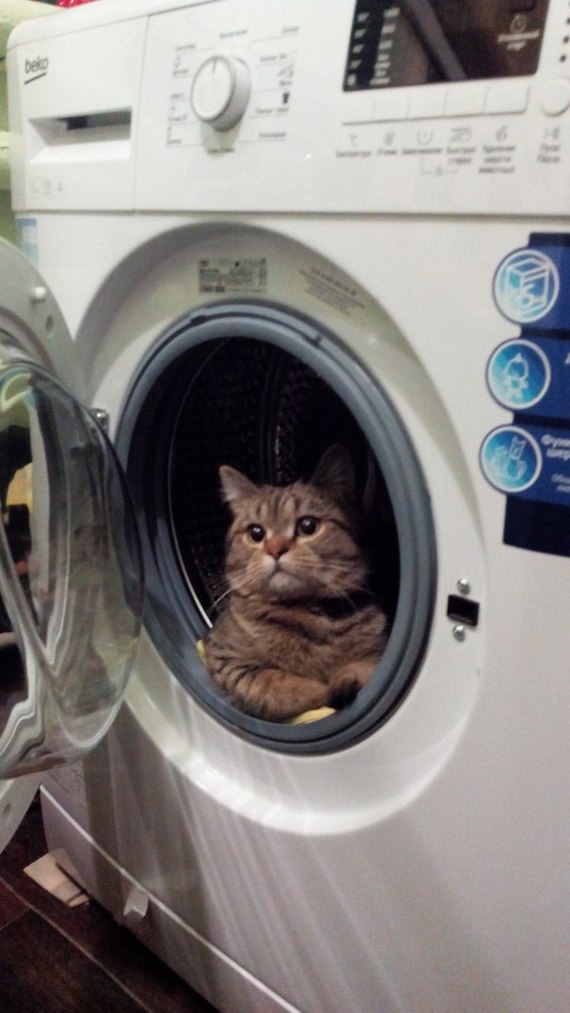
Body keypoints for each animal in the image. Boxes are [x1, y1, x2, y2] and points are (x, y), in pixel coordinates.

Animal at [202, 443, 390, 721]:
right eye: (256, 532)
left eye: (308, 525)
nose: (275, 549)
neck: (306, 612)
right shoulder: (227, 660)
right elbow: (281, 686)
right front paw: (324, 690)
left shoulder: (377, 651)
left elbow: (361, 666)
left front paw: (344, 682)